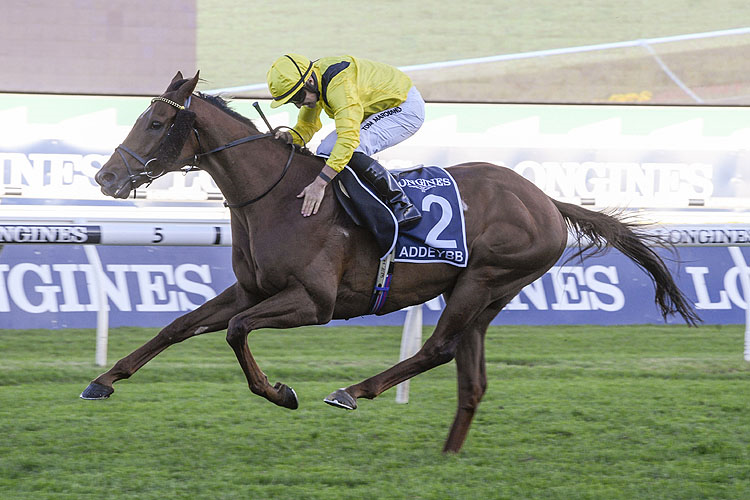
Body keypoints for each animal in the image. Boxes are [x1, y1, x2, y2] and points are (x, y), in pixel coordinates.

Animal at [82, 73, 700, 454]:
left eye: (156, 124)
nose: (105, 177)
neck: (278, 198)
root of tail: (547, 200)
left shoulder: (315, 303)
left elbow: (235, 331)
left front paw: (281, 393)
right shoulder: (252, 289)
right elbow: (178, 326)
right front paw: (103, 381)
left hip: (484, 280)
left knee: (439, 350)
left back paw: (353, 391)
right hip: (485, 295)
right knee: (471, 378)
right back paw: (448, 455)